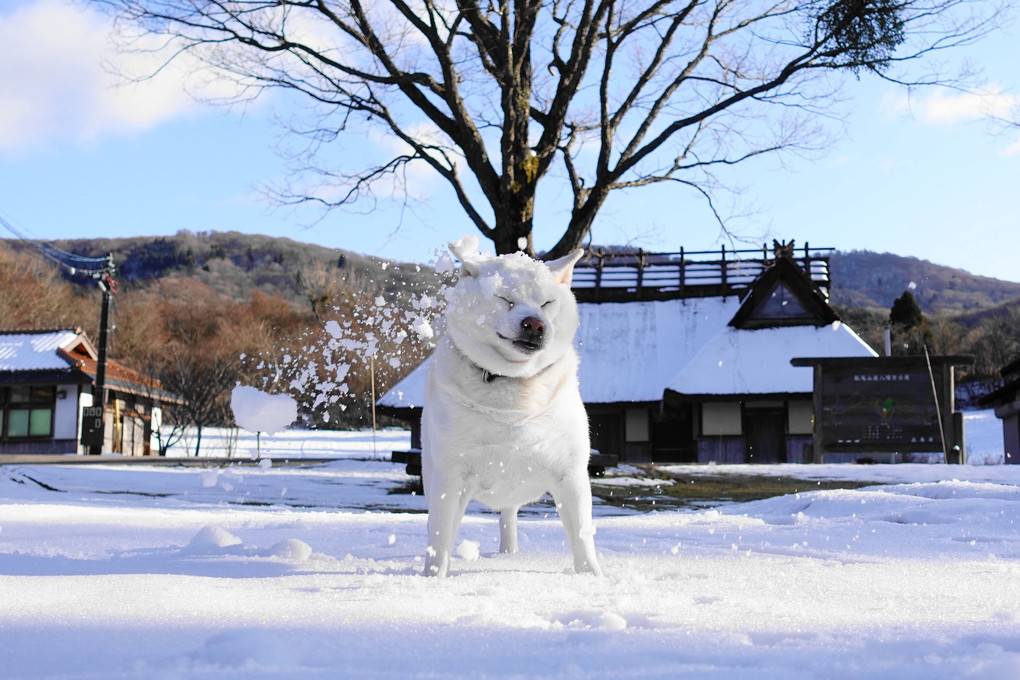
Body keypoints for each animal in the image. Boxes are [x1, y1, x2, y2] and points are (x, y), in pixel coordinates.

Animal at [420, 236, 599, 579]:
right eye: (505, 299)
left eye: (547, 304)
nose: (535, 325)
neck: (515, 386)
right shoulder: (450, 475)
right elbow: (439, 536)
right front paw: (433, 580)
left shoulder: (570, 474)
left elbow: (582, 535)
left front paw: (593, 579)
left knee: (509, 516)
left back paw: (509, 554)